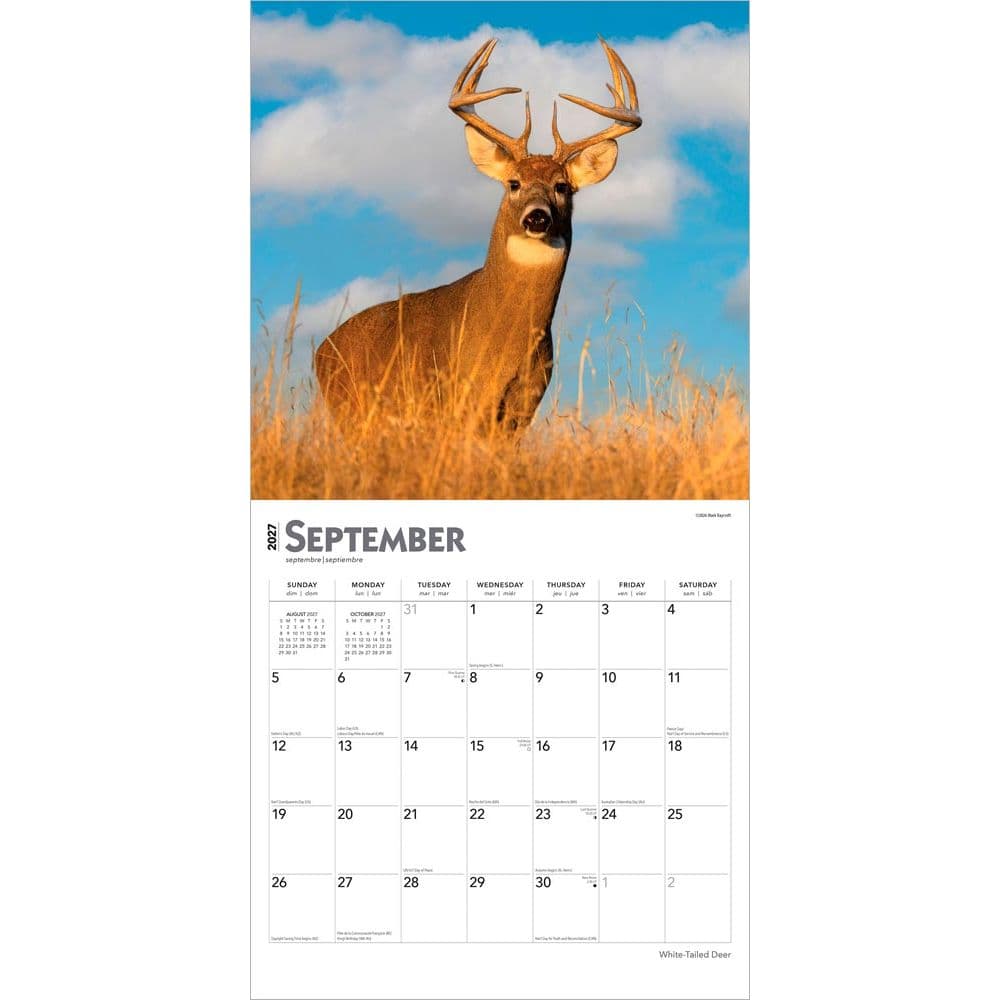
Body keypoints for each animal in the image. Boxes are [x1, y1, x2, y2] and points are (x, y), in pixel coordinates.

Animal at [314, 37, 642, 433]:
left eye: (562, 186)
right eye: (513, 183)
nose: (537, 217)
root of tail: (321, 349)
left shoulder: (522, 408)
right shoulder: (461, 398)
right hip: (350, 411)